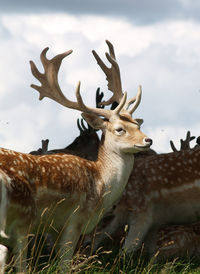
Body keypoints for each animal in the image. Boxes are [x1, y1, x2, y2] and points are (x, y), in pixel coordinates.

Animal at [0, 41, 152, 274]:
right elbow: (64, 265)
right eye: (119, 129)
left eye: (138, 124)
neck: (100, 184)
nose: (147, 140)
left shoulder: (54, 228)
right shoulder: (74, 220)